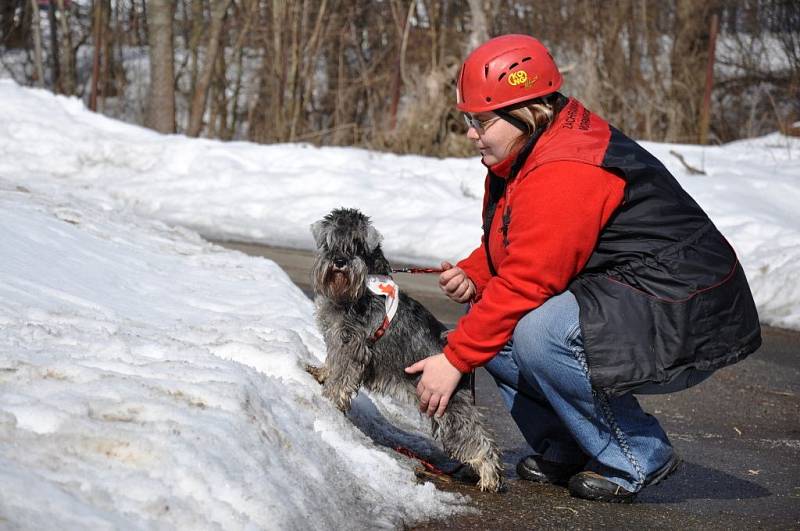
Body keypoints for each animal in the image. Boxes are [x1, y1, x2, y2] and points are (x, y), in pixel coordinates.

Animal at [304, 209, 500, 494]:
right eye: (330, 242)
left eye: (357, 244)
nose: (340, 261)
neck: (362, 284)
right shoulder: (338, 340)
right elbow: (332, 364)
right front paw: (320, 373)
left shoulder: (352, 346)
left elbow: (341, 377)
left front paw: (328, 400)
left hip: (449, 406)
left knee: (478, 440)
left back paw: (489, 478)